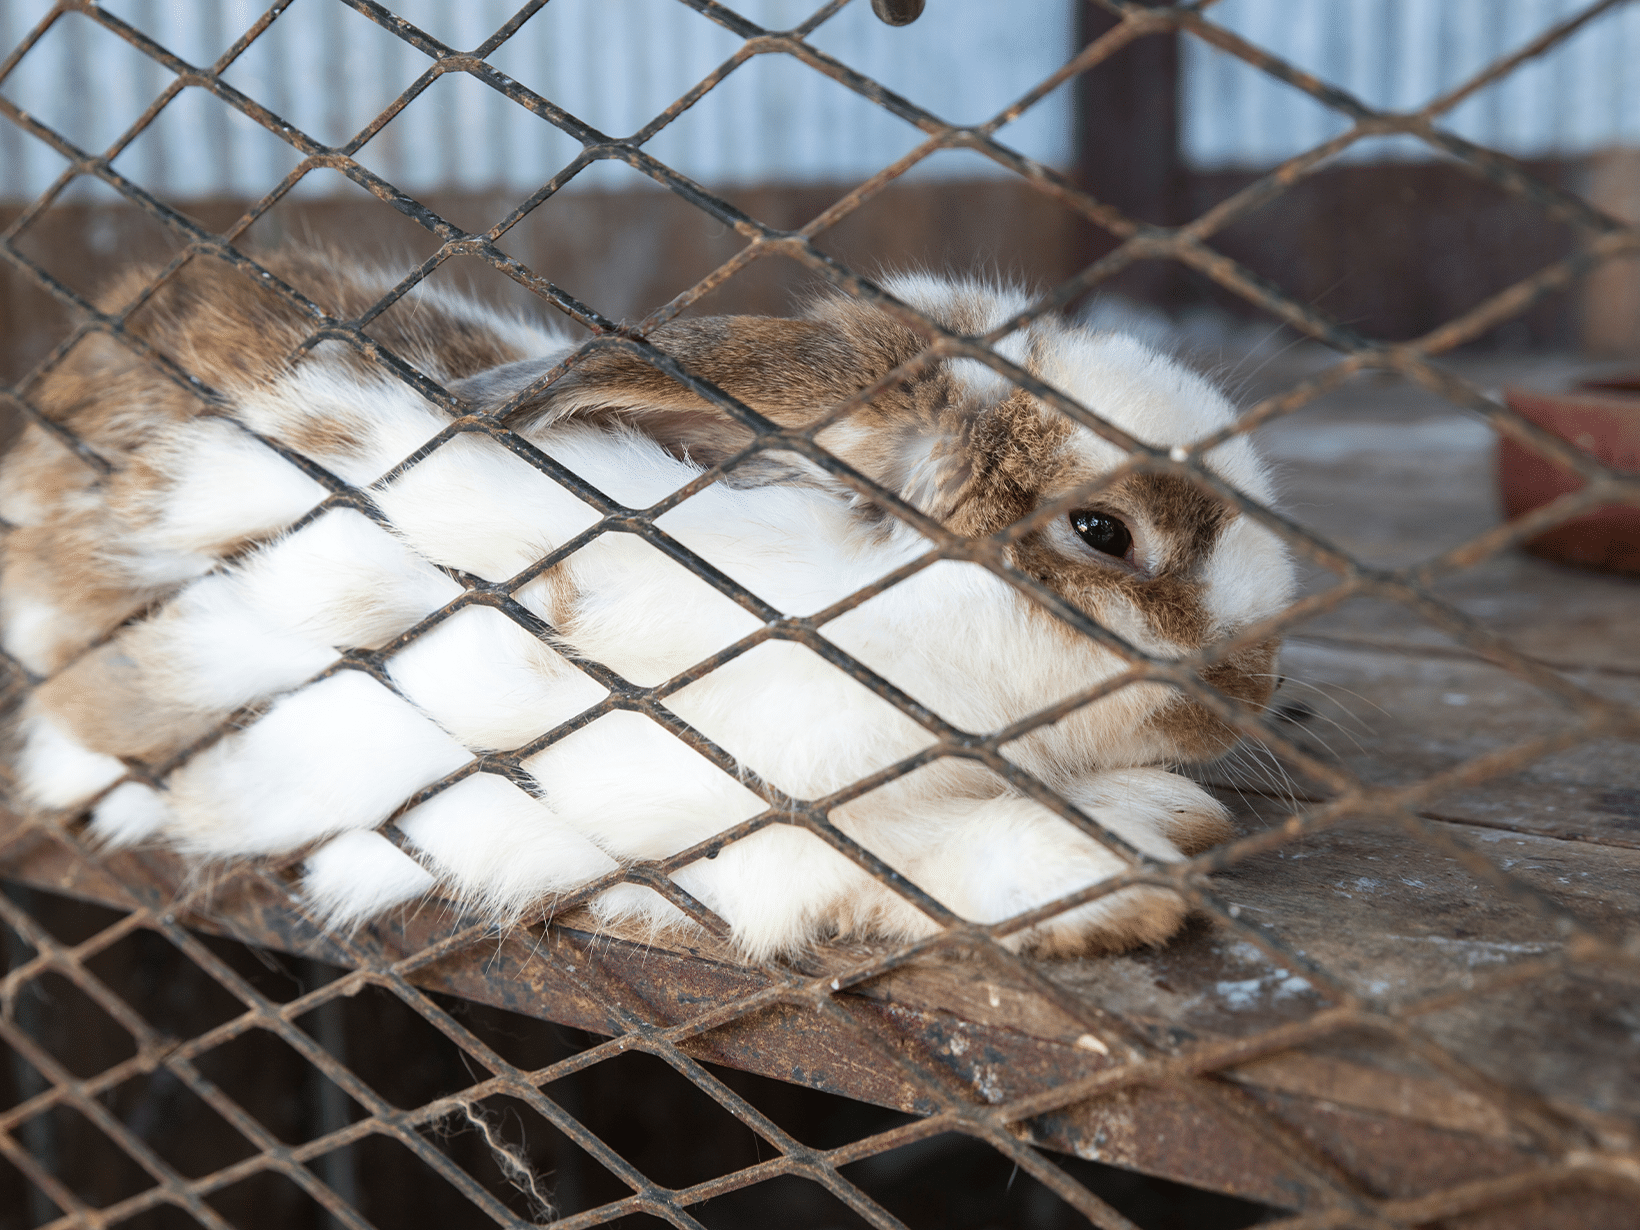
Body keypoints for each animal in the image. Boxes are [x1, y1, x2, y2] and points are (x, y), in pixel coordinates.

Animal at [6, 247, 1298, 964]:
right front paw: (1118, 881)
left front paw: (1166, 815)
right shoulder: (681, 823)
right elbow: (882, 862)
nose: (1257, 684)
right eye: (1102, 532)